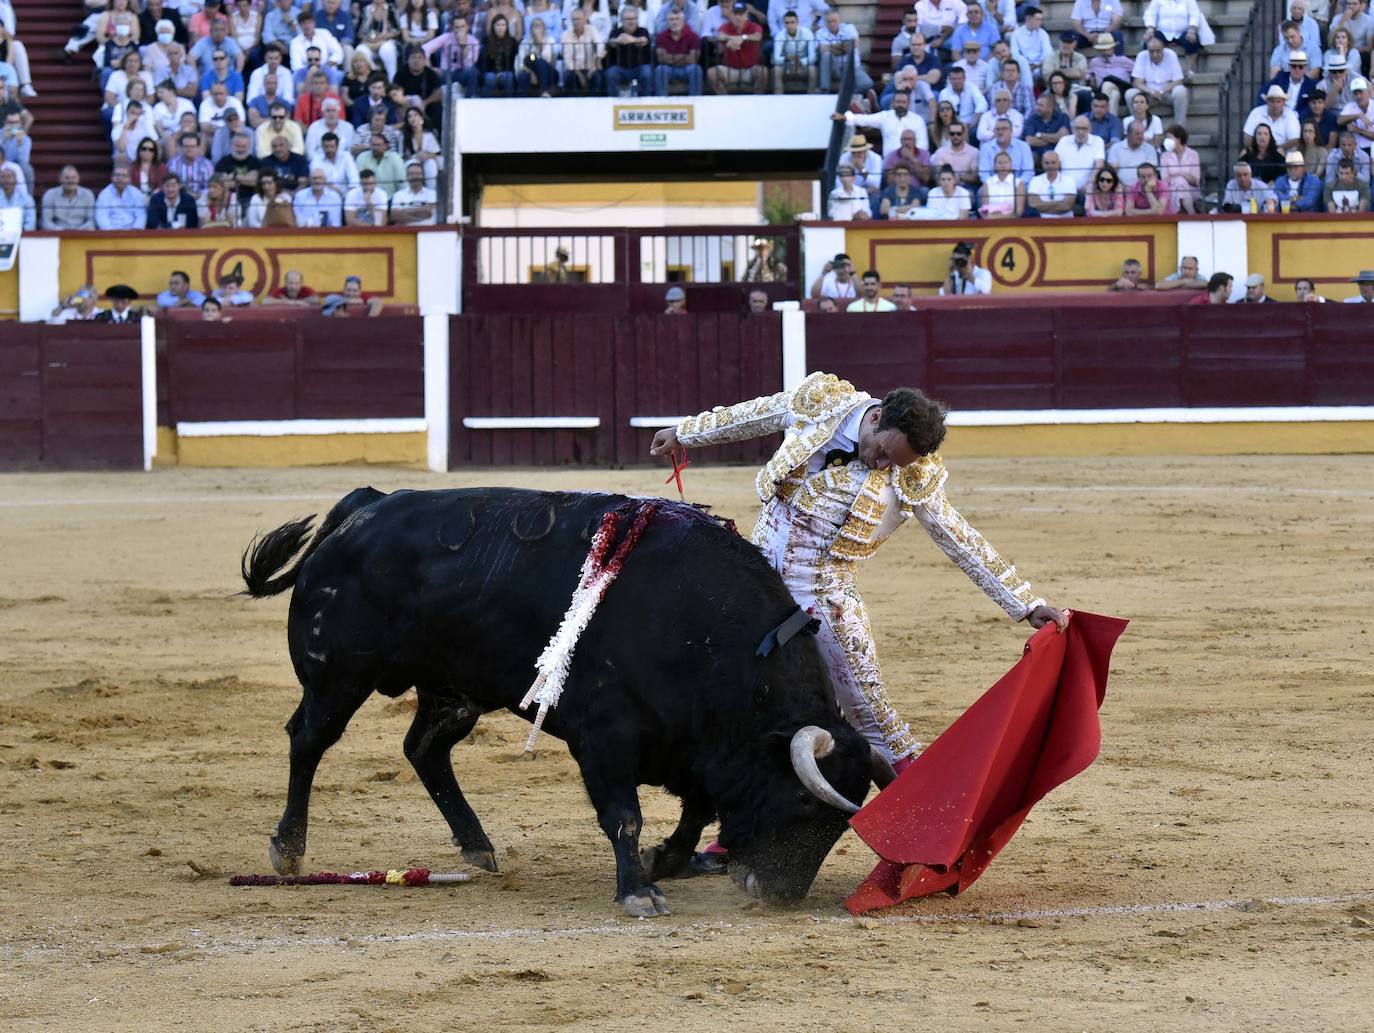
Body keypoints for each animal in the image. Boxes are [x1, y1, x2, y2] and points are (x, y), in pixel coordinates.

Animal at [241, 489, 873, 917]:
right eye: (801, 802)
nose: (780, 895)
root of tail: (361, 510)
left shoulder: (693, 744)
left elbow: (698, 807)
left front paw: (666, 861)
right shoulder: (606, 735)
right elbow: (625, 815)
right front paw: (638, 891)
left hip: (453, 689)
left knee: (424, 748)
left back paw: (478, 847)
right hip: (338, 677)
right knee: (308, 741)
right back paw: (288, 849)